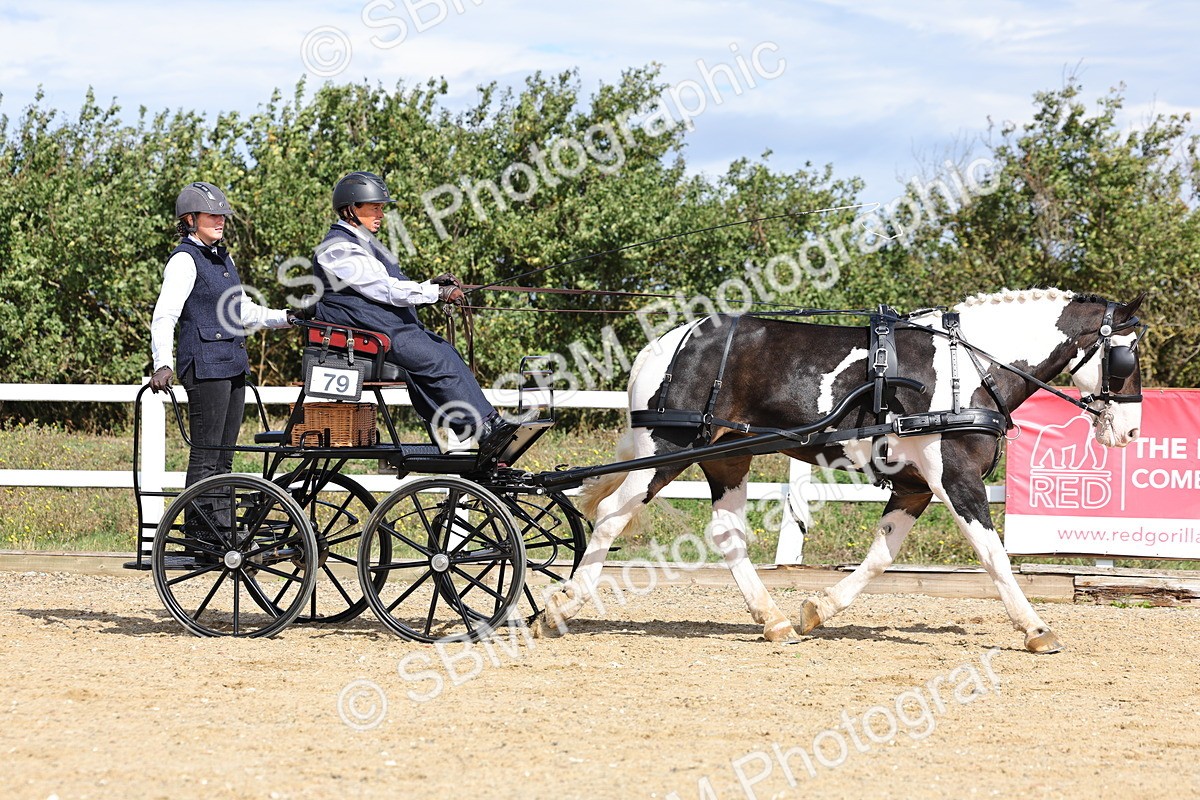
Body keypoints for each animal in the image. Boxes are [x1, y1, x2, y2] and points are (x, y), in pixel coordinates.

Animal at [532, 288, 1146, 653]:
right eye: (1128, 357)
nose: (1131, 432)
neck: (964, 367)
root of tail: (666, 343)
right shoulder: (954, 478)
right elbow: (992, 553)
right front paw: (1036, 628)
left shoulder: (914, 486)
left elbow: (881, 556)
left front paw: (817, 610)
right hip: (670, 447)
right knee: (612, 515)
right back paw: (560, 608)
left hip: (727, 454)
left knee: (727, 533)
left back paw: (773, 620)